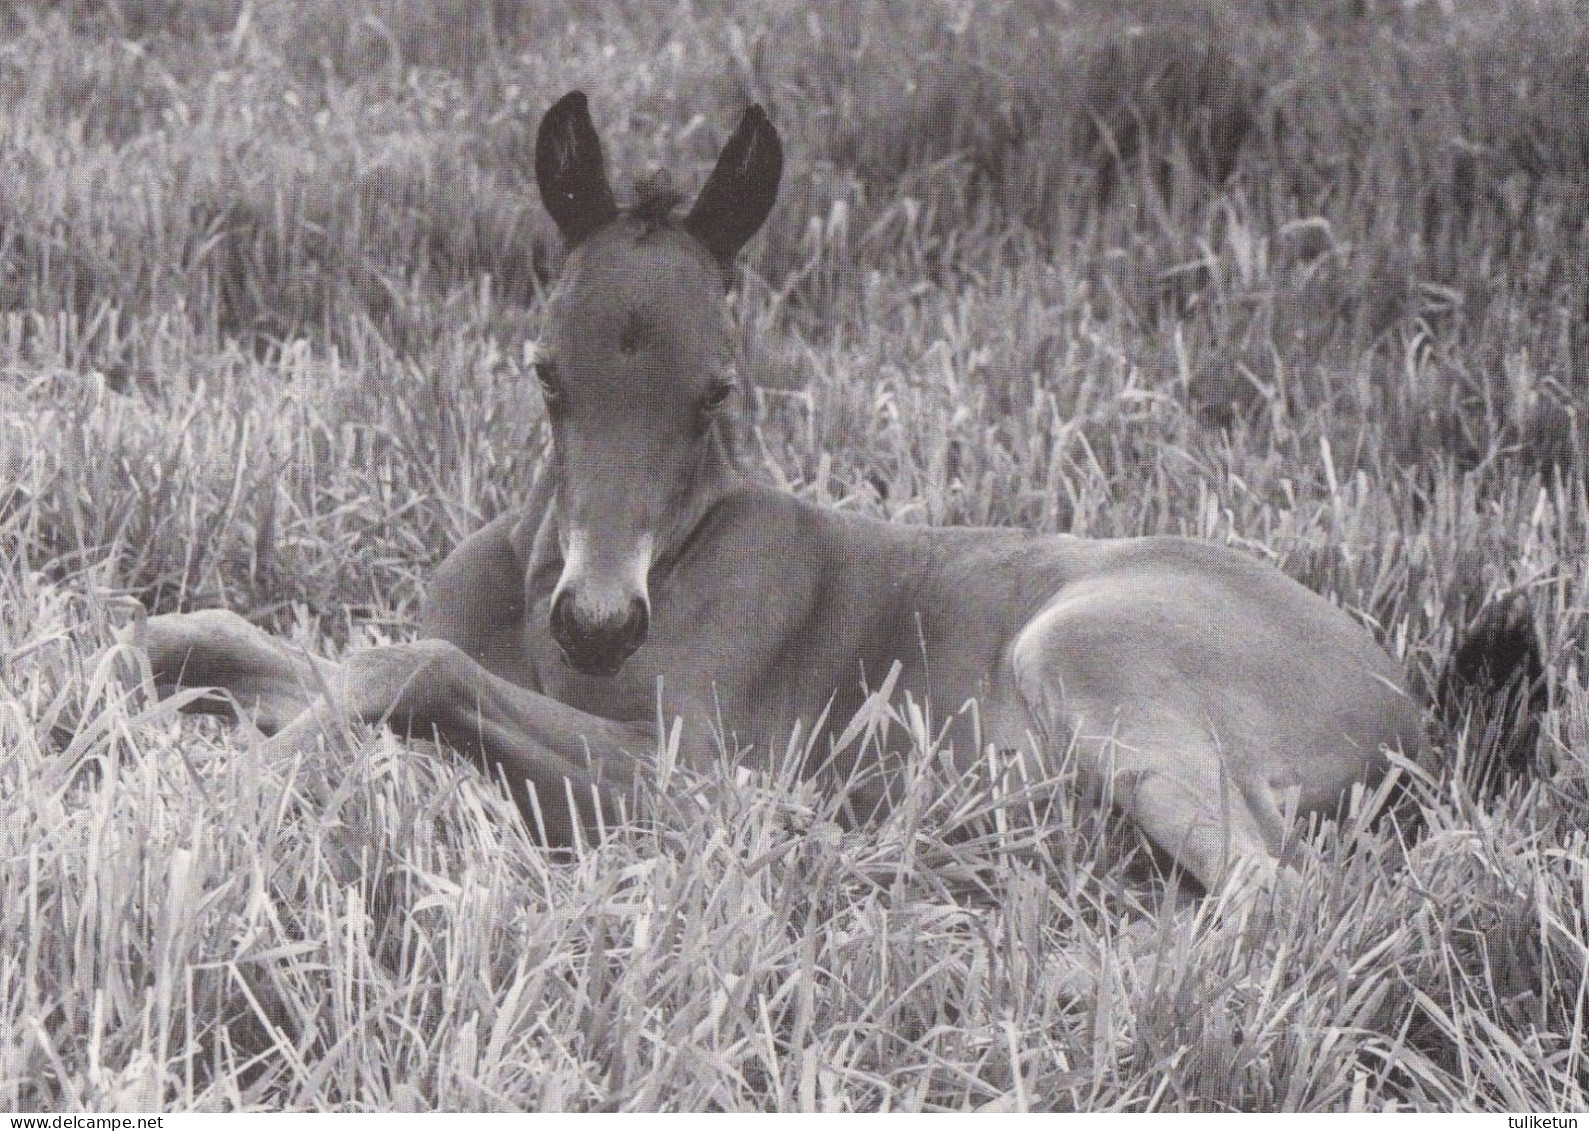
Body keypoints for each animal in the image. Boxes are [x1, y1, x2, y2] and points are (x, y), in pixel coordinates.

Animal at [139, 92, 1538, 889]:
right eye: (544, 372)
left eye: (718, 390)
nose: (599, 622)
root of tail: (1409, 702)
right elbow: (267, 638)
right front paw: (148, 674)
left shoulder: (706, 781)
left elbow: (408, 669)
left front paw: (249, 788)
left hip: (1088, 654)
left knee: (1275, 891)